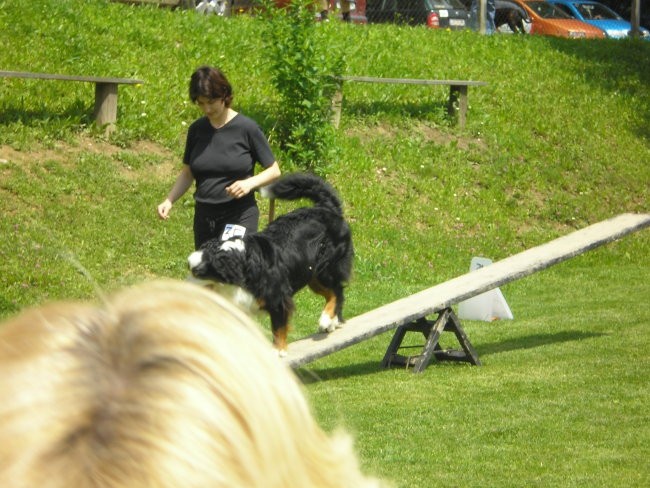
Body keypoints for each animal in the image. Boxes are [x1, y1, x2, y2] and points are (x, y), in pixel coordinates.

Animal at [186, 173, 354, 354]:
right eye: (189, 268)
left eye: (198, 273)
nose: (183, 284)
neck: (243, 264)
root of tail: (325, 208)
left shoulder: (277, 299)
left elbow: (278, 327)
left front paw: (278, 350)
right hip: (311, 275)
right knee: (332, 292)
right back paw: (332, 322)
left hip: (326, 268)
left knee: (337, 291)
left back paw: (326, 319)